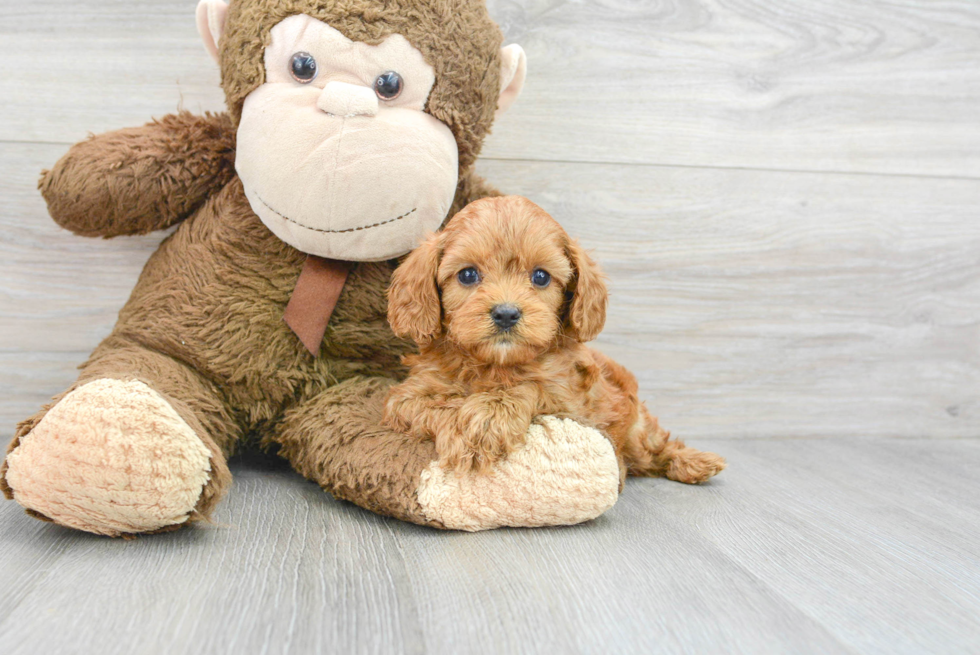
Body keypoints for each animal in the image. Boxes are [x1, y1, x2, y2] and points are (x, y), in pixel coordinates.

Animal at [382, 195, 728, 482]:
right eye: (467, 275)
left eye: (541, 277)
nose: (506, 313)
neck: (494, 365)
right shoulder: (405, 398)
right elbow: (432, 404)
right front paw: (466, 430)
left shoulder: (570, 401)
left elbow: (531, 386)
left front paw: (487, 418)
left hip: (638, 428)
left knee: (657, 445)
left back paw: (695, 463)